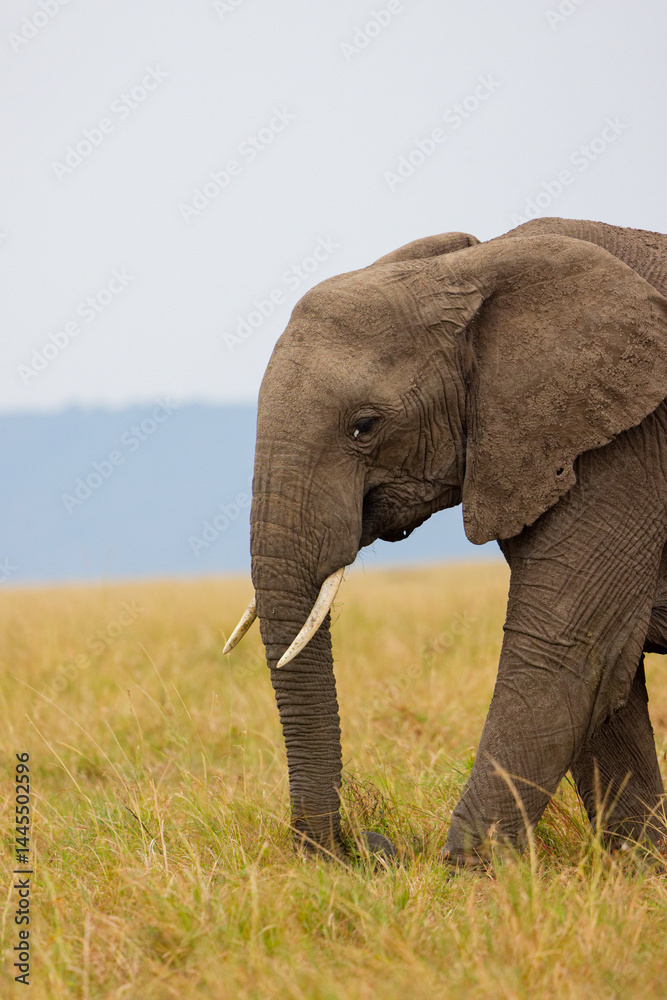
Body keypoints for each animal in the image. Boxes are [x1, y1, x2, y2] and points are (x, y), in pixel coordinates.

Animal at [225, 216, 667, 866]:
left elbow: (567, 652)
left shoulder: (629, 444)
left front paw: (466, 875)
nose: (363, 846)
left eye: (364, 427)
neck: (478, 268)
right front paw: (638, 867)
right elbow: (609, 674)